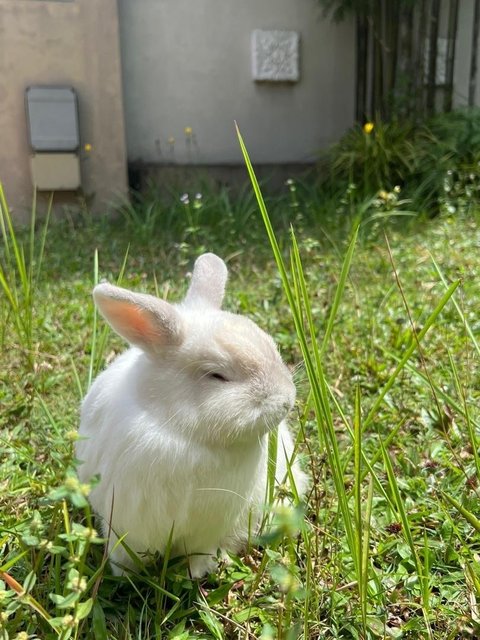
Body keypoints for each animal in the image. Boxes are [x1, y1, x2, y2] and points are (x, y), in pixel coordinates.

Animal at [75, 252, 308, 576]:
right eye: (217, 375)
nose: (286, 400)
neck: (186, 434)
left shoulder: (209, 528)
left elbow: (198, 552)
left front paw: (197, 573)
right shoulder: (124, 523)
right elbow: (124, 553)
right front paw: (124, 575)